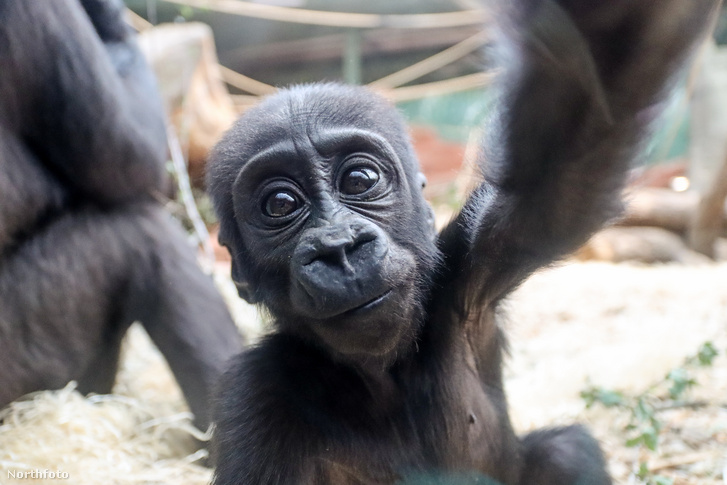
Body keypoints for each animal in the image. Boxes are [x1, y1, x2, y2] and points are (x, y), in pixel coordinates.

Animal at [209, 1, 716, 482]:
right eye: (280, 205)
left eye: (359, 179)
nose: (339, 247)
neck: (382, 373)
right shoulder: (255, 397)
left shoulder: (470, 267)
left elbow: (570, 147)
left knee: (565, 451)